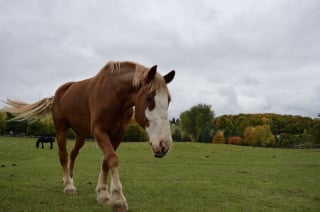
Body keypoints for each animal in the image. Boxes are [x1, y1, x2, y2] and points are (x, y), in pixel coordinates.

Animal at [2, 60, 175, 211]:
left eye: (168, 100)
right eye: (149, 98)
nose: (163, 144)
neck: (113, 95)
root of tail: (57, 95)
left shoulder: (118, 134)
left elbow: (106, 160)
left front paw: (103, 193)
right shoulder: (99, 131)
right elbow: (112, 158)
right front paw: (118, 199)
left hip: (81, 135)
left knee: (73, 153)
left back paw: (68, 178)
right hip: (61, 129)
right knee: (63, 155)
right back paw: (69, 186)